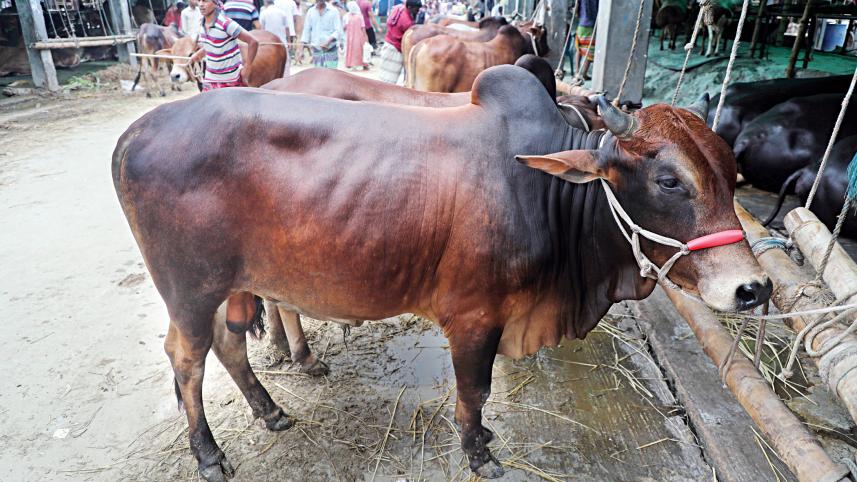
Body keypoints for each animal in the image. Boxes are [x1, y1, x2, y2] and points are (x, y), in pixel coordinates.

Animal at [112, 64, 771, 481]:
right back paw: (208, 455)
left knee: (228, 345)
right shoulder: (475, 317)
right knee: (187, 360)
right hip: (189, 291)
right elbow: (473, 393)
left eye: (730, 172)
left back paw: (271, 411)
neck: (547, 193)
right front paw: (480, 453)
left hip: (231, 286)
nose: (753, 288)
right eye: (668, 180)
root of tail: (136, 131)